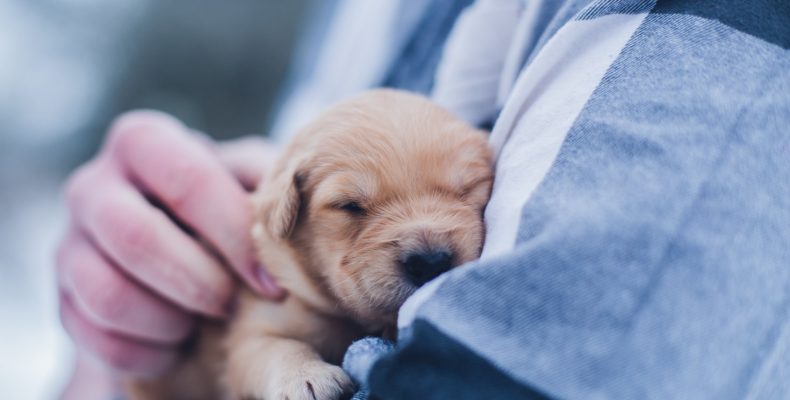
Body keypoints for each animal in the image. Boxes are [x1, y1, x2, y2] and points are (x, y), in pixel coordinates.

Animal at [127, 90, 492, 400]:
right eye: (349, 206)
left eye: (468, 188)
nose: (430, 262)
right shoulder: (254, 326)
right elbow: (275, 348)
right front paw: (306, 377)